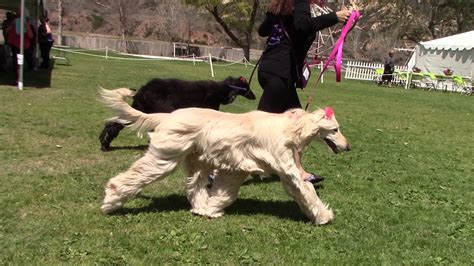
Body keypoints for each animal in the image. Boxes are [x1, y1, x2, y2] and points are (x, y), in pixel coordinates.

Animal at [98, 76, 258, 152]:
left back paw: (105, 143)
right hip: (161, 110)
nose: (254, 96)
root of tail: (142, 91)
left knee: (113, 125)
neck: (220, 90)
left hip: (142, 109)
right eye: (247, 87)